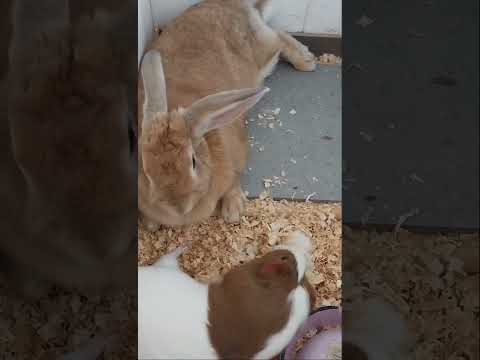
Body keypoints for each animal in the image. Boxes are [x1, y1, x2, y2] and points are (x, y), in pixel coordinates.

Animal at [139, 0, 316, 229]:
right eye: (146, 169)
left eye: (193, 161)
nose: (178, 207)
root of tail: (235, 4)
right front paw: (150, 224)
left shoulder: (237, 157)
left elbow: (234, 181)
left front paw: (233, 211)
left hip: (262, 52)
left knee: (278, 36)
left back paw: (306, 61)